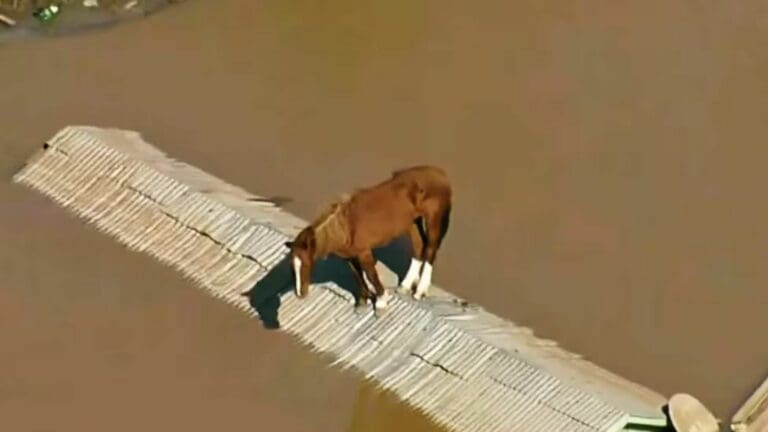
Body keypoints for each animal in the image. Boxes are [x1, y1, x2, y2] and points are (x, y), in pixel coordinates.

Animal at [284, 165, 452, 310]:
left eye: (306, 265)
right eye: (292, 268)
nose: (299, 294)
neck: (345, 227)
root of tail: (440, 174)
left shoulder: (364, 252)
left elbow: (371, 275)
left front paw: (381, 301)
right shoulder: (349, 256)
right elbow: (358, 276)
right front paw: (363, 301)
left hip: (434, 220)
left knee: (430, 249)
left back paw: (420, 291)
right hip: (412, 222)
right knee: (419, 246)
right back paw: (406, 285)